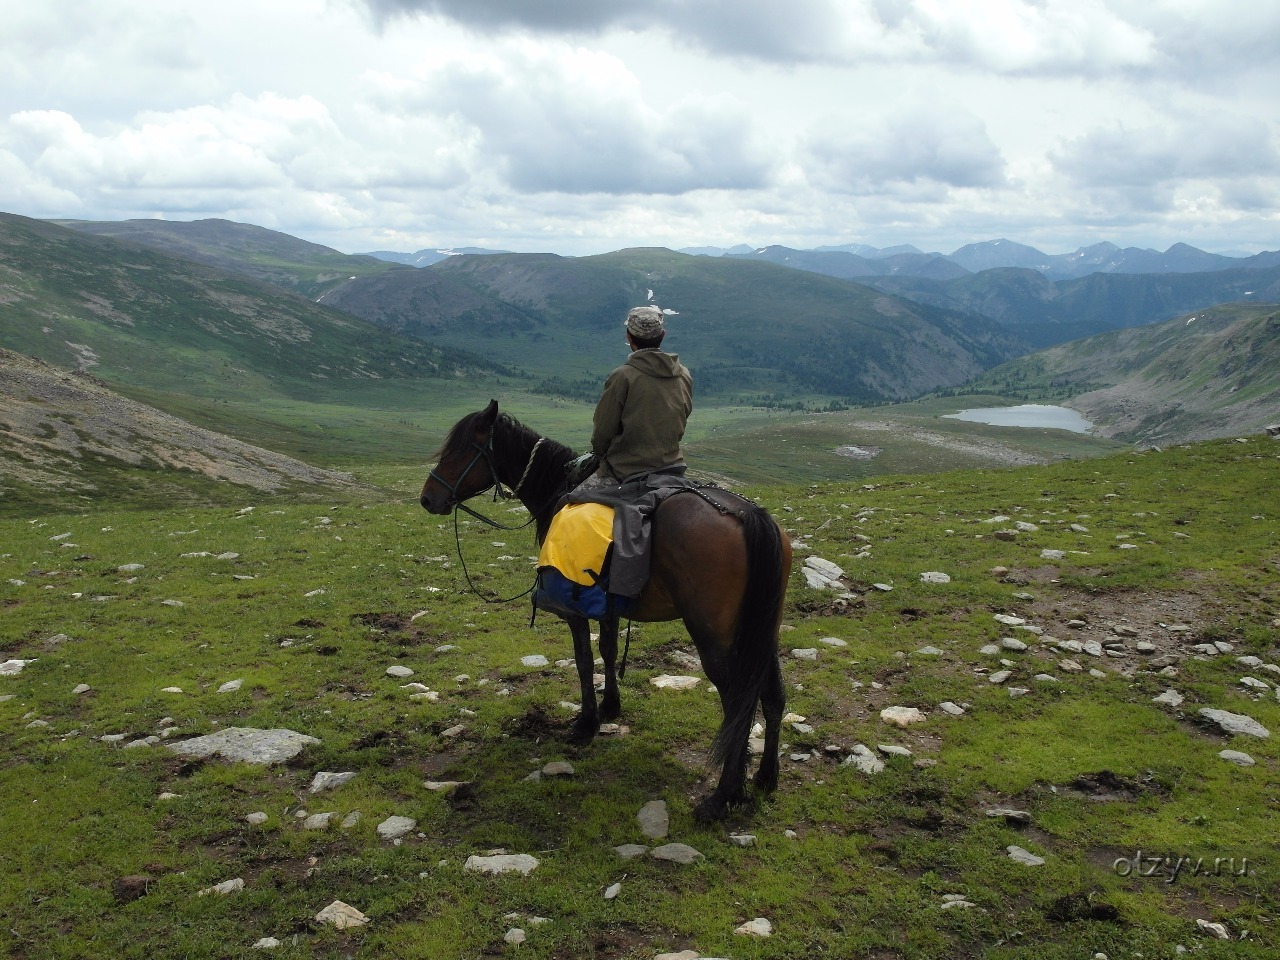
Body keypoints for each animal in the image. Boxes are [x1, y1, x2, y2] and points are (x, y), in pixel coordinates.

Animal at [419, 401, 793, 824]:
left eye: (463, 450)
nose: (428, 498)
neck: (556, 488)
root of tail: (750, 516)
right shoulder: (610, 604)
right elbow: (609, 652)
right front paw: (611, 706)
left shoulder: (575, 609)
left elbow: (584, 660)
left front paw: (586, 723)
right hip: (762, 631)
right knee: (772, 695)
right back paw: (765, 777)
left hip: (715, 636)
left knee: (737, 705)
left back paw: (723, 796)